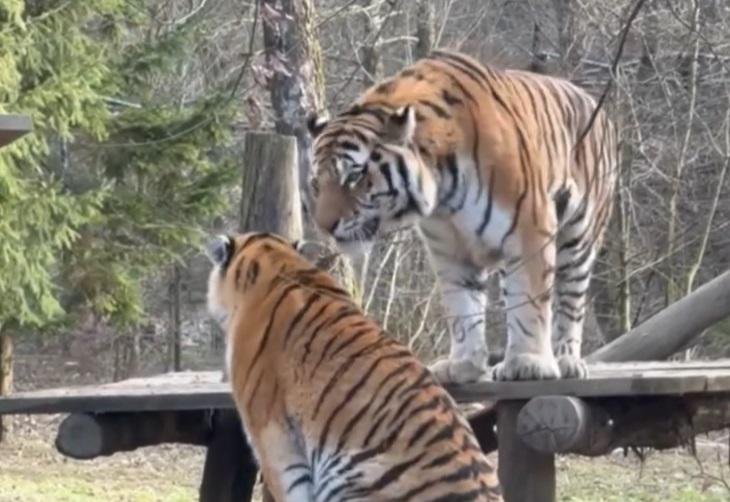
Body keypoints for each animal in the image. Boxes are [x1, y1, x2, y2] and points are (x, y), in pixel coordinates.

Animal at [307, 49, 617, 383]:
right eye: (316, 183)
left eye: (354, 177)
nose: (324, 226)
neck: (442, 185)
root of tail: (593, 102)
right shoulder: (449, 247)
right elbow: (462, 306)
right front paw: (464, 365)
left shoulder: (530, 227)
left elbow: (529, 300)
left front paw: (529, 363)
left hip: (579, 236)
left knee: (571, 296)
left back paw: (567, 359)